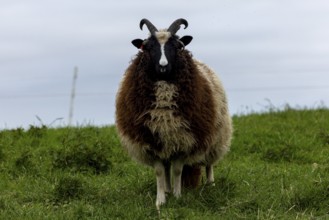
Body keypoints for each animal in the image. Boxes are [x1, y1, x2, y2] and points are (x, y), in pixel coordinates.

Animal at [115, 18, 233, 209]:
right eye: (148, 47)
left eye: (177, 46)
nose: (163, 66)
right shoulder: (152, 141)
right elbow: (159, 171)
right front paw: (161, 200)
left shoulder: (184, 140)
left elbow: (178, 170)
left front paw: (178, 197)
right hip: (166, 141)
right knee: (166, 167)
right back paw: (168, 190)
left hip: (215, 137)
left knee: (209, 163)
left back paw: (210, 185)